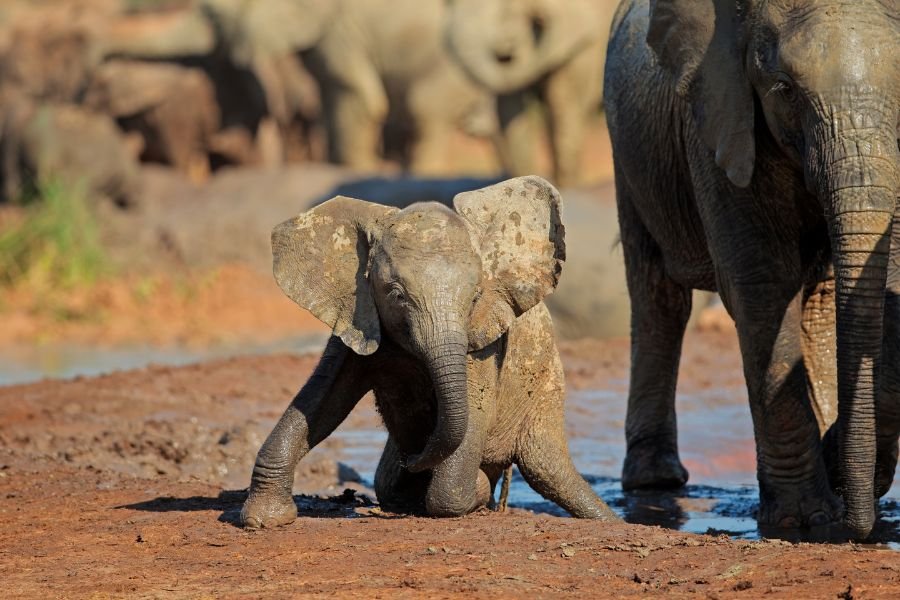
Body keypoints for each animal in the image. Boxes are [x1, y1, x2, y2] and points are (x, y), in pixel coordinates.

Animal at [241, 176, 620, 528]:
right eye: (396, 295)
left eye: (475, 296)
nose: (413, 459)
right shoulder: (357, 313)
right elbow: (321, 400)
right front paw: (264, 520)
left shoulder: (484, 339)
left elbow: (472, 417)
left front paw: (464, 489)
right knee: (387, 483)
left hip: (544, 389)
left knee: (547, 471)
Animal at [604, 0, 900, 536]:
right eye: (783, 88)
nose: (856, 523)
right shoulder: (718, 117)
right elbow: (760, 282)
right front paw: (802, 519)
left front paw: (837, 473)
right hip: (630, 156)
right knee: (659, 296)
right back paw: (655, 482)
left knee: (820, 301)